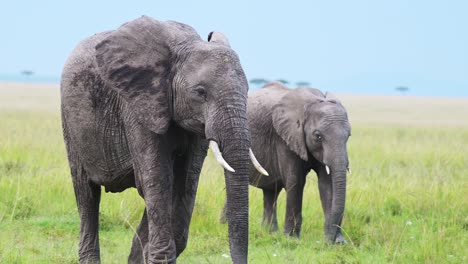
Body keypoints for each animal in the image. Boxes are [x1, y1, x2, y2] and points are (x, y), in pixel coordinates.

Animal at [61, 16, 266, 262]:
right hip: (70, 124)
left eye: (247, 91)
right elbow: (157, 180)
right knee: (87, 195)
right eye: (200, 92)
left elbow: (184, 182)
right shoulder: (138, 103)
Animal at [223, 82, 352, 243]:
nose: (327, 240)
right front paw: (291, 239)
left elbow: (326, 184)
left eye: (349, 135)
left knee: (270, 191)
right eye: (318, 136)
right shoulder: (284, 138)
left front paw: (339, 243)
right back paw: (224, 226)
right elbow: (296, 181)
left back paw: (270, 232)